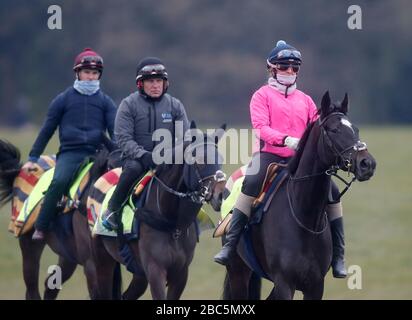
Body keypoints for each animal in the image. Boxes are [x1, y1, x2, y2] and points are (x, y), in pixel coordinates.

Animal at [91, 123, 227, 300]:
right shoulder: (155, 270)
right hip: (102, 262)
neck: (171, 224)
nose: (220, 195)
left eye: (221, 160)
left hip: (138, 273)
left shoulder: (181, 273)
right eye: (199, 160)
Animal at [222, 92, 376, 300]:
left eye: (356, 129)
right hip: (238, 272)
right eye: (334, 130)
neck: (304, 217)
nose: (367, 164)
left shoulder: (315, 286)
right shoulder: (285, 283)